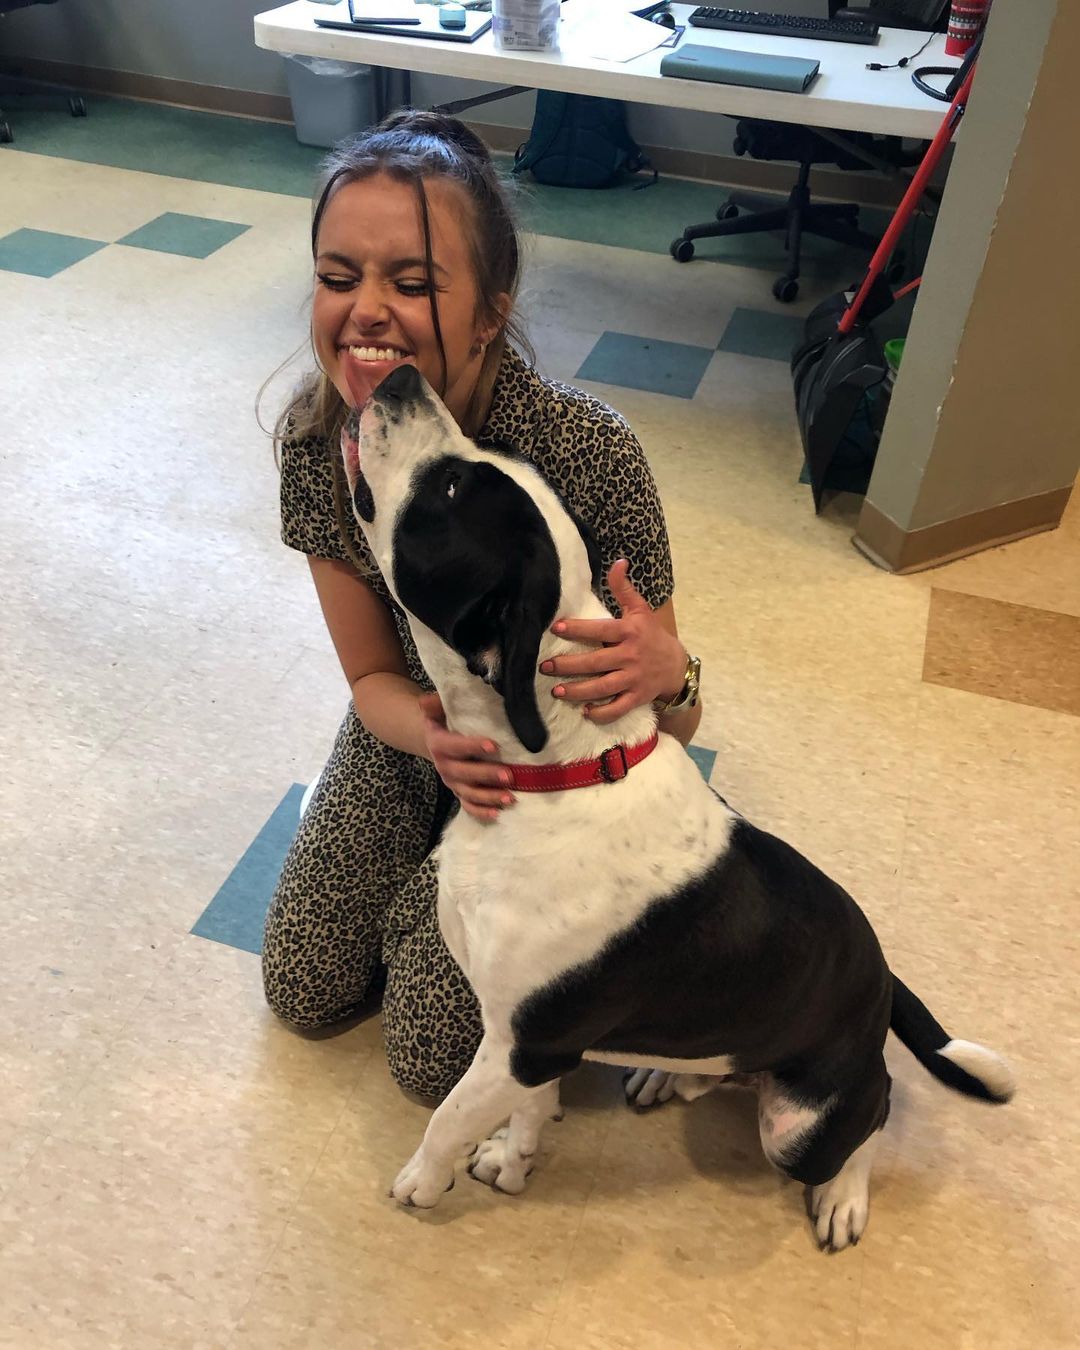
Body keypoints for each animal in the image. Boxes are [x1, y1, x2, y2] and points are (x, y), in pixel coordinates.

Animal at [344, 367, 1015, 1252]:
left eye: (451, 489)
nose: (400, 377)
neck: (559, 774)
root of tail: (881, 981)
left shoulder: (524, 1043)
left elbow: (449, 1117)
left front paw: (425, 1180)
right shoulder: (527, 1047)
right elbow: (526, 1115)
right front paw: (514, 1162)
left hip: (803, 1128)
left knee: (874, 1113)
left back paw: (842, 1196)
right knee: (734, 1077)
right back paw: (670, 1079)